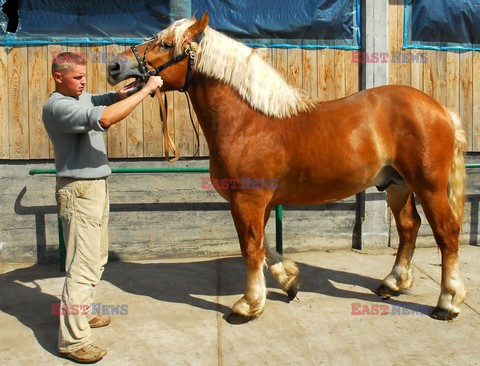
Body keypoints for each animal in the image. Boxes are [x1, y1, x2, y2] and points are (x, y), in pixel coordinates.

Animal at [107, 11, 466, 324]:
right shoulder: (258, 203)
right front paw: (289, 281)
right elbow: (264, 247)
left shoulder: (248, 201)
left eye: (167, 44)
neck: (250, 121)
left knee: (446, 232)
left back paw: (447, 302)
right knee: (408, 227)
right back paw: (392, 283)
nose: (114, 65)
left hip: (428, 186)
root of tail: (441, 109)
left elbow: (251, 250)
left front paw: (248, 306)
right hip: (397, 185)